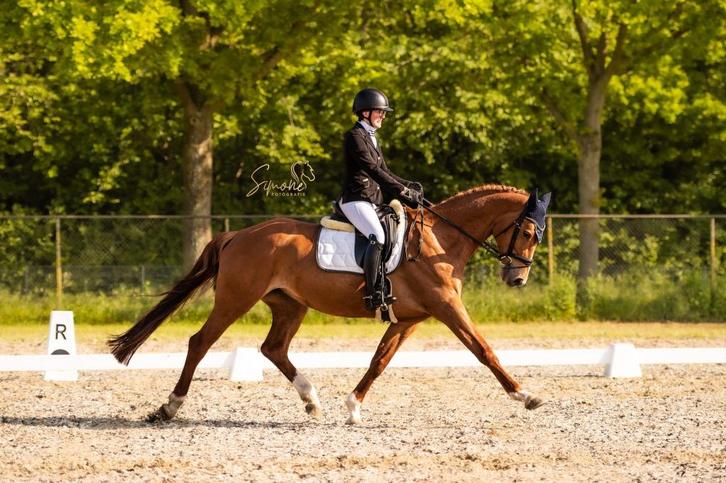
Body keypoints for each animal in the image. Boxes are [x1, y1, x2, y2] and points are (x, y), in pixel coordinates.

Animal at [108, 184, 549, 424]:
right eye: (529, 231)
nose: (517, 279)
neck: (441, 239)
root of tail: (238, 235)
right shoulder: (446, 309)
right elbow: (483, 350)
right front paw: (525, 395)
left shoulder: (408, 320)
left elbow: (379, 361)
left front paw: (353, 407)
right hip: (236, 299)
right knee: (200, 343)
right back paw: (170, 407)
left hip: (290, 305)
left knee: (274, 348)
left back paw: (311, 400)